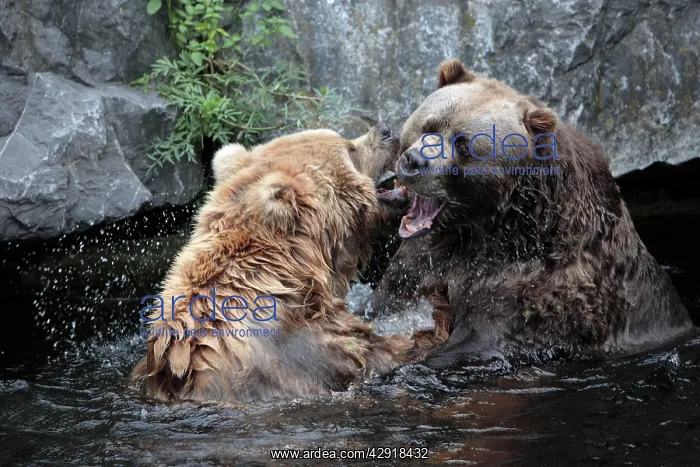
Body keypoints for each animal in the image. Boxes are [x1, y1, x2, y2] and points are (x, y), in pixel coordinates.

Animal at [364, 59, 694, 370]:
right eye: (429, 125)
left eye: (464, 144)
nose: (414, 161)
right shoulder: (422, 261)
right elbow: (386, 301)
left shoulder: (536, 288)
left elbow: (480, 340)